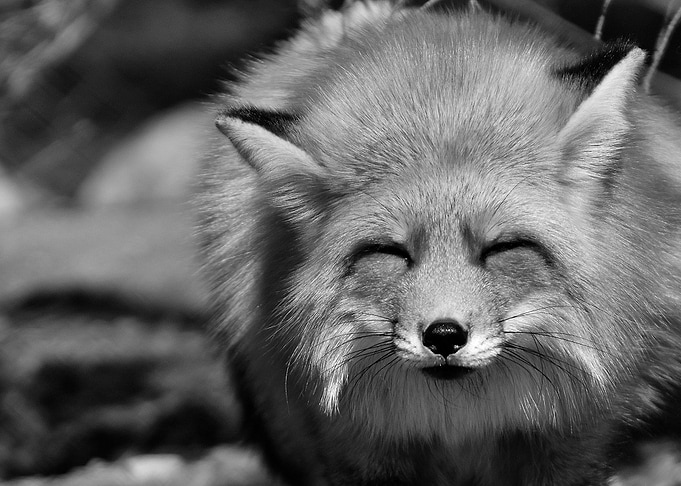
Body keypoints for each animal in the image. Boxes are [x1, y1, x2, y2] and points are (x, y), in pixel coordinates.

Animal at [196, 1, 681, 485]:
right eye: (392, 253)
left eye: (500, 248)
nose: (444, 337)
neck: (462, 419)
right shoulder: (352, 441)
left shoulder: (574, 436)